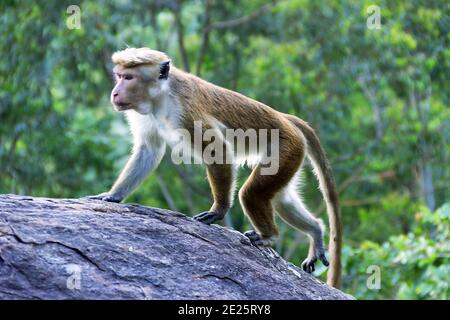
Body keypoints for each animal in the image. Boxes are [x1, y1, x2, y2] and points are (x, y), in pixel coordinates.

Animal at [87, 47, 342, 288]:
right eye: (119, 75)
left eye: (129, 77)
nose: (115, 92)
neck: (161, 95)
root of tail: (286, 118)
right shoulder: (145, 115)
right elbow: (149, 150)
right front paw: (112, 195)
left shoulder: (186, 112)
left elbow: (217, 151)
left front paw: (218, 211)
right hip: (292, 153)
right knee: (281, 199)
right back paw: (316, 231)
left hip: (286, 146)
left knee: (251, 194)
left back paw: (269, 236)